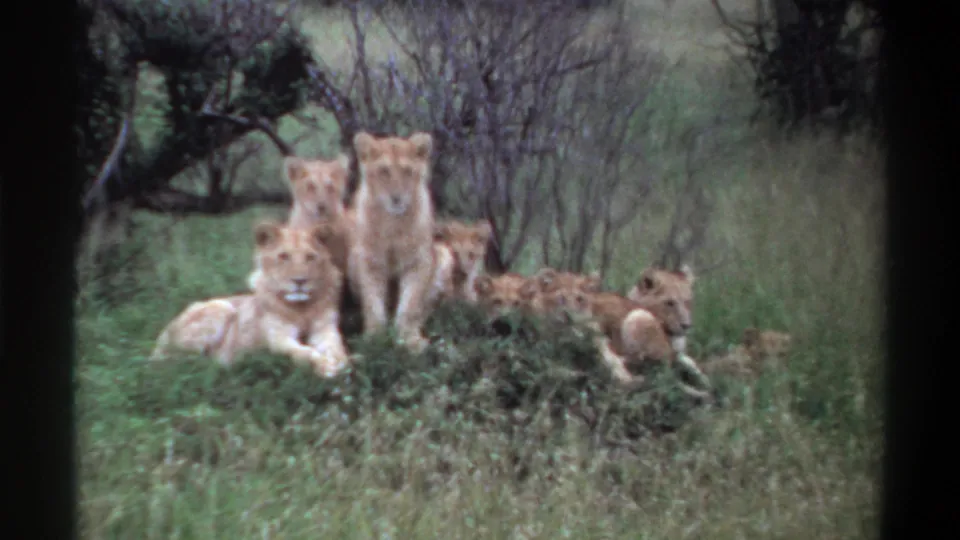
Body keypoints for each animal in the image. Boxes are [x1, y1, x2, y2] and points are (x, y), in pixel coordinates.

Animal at [151, 221, 351, 377]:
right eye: (283, 256)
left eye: (310, 257)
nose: (300, 281)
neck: (301, 309)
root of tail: (160, 338)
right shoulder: (278, 339)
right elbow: (304, 353)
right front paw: (325, 366)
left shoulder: (325, 329)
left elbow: (337, 348)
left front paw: (341, 362)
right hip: (221, 307)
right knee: (178, 361)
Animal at [347, 131, 437, 351]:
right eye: (384, 171)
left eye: (407, 171)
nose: (396, 199)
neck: (393, 225)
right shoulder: (369, 262)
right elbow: (373, 304)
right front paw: (374, 338)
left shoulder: (419, 261)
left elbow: (410, 304)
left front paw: (409, 339)